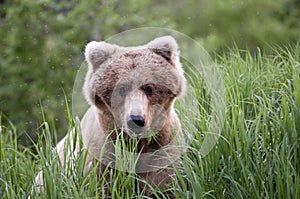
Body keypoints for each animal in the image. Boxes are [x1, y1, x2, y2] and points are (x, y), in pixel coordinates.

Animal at [34, 35, 185, 196]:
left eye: (148, 88)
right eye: (122, 89)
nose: (136, 120)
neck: (135, 144)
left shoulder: (162, 148)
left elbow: (164, 183)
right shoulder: (101, 156)